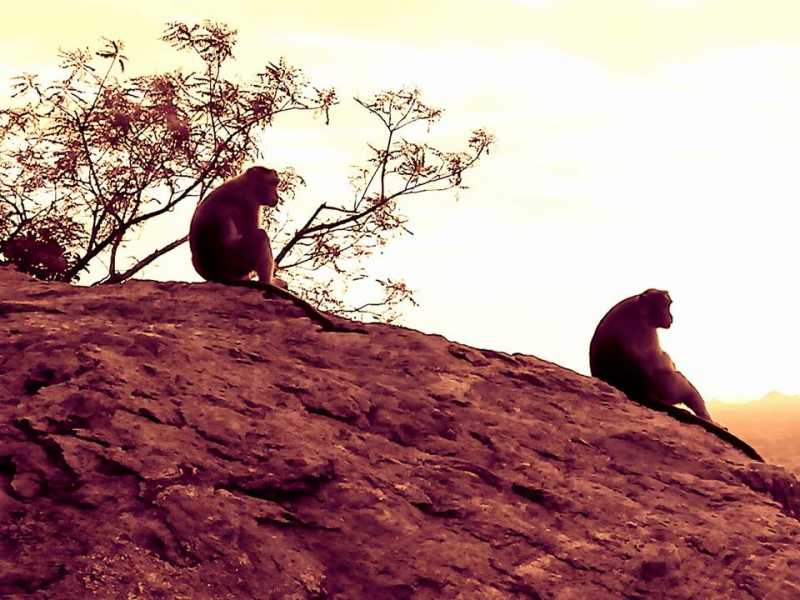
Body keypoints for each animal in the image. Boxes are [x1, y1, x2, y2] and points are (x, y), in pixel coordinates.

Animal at [189, 166, 365, 334]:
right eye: (273, 183)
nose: (277, 196)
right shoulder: (249, 203)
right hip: (233, 260)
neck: (246, 182)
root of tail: (208, 269)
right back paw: (269, 286)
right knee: (259, 236)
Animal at [589, 289, 763, 462]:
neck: (639, 307)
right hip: (666, 387)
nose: (671, 317)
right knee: (684, 384)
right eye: (665, 306)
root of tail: (638, 390)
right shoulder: (648, 333)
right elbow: (666, 363)